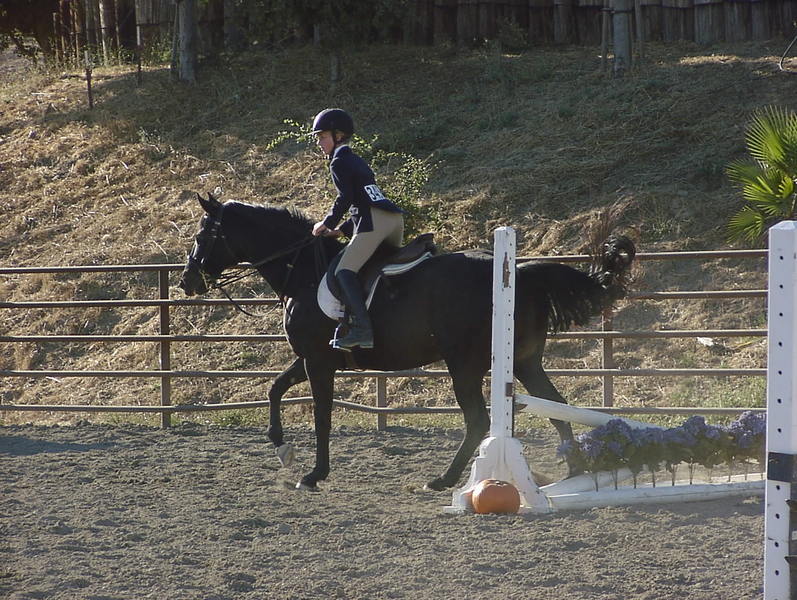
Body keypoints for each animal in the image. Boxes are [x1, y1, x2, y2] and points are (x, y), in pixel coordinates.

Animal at [178, 193, 636, 491]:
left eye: (202, 235)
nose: (186, 281)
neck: (302, 270)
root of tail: (519, 273)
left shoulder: (319, 361)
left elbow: (322, 416)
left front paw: (313, 474)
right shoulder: (311, 357)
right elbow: (275, 390)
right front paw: (282, 449)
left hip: (465, 364)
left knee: (479, 420)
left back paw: (445, 480)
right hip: (523, 361)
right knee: (555, 406)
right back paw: (574, 471)